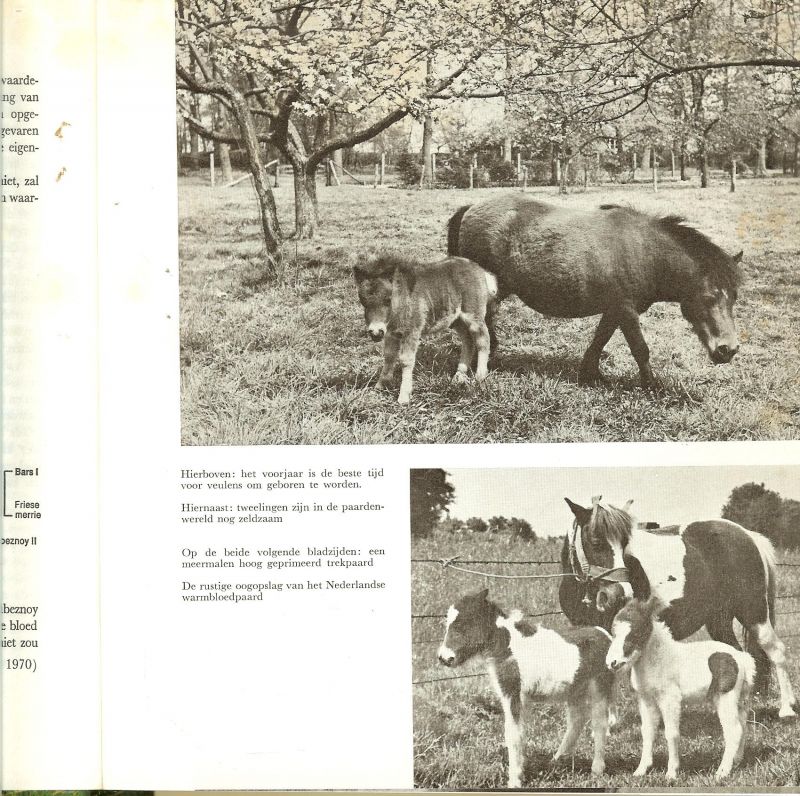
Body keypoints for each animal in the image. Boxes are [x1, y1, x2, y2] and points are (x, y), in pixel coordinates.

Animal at [353, 253, 498, 404]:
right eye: (363, 302)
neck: (402, 299)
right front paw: (380, 386)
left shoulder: (411, 332)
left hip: (474, 316)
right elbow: (389, 357)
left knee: (483, 341)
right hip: (457, 321)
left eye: (388, 300)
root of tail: (479, 269)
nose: (375, 332)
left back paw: (480, 377)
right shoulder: (391, 334)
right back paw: (458, 377)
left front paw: (404, 397)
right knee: (468, 342)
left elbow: (406, 360)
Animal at [437, 589, 613, 786]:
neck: (506, 645)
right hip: (575, 690)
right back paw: (557, 760)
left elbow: (513, 734)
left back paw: (596, 769)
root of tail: (605, 634)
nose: (443, 658)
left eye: (463, 622)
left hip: (599, 687)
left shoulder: (513, 693)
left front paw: (514, 780)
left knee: (599, 723)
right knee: (576, 721)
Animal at [447, 195, 743, 388]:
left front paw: (590, 374)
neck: (645, 252)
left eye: (734, 298)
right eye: (708, 298)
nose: (728, 350)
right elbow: (640, 349)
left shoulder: (614, 310)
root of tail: (471, 208)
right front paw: (651, 385)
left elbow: (599, 341)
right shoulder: (626, 310)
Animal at [559, 496, 797, 719]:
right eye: (595, 541)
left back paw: (787, 708)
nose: (619, 595)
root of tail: (749, 535)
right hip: (719, 620)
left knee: (776, 650)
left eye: (625, 545)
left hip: (753, 611)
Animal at [607, 596, 756, 780]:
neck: (658, 659)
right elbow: (647, 732)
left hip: (726, 697)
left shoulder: (670, 699)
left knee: (733, 730)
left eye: (635, 632)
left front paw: (672, 773)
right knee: (743, 726)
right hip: (740, 699)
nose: (612, 662)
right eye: (613, 633)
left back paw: (722, 771)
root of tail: (742, 658)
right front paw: (641, 770)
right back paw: (736, 761)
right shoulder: (646, 700)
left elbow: (671, 733)